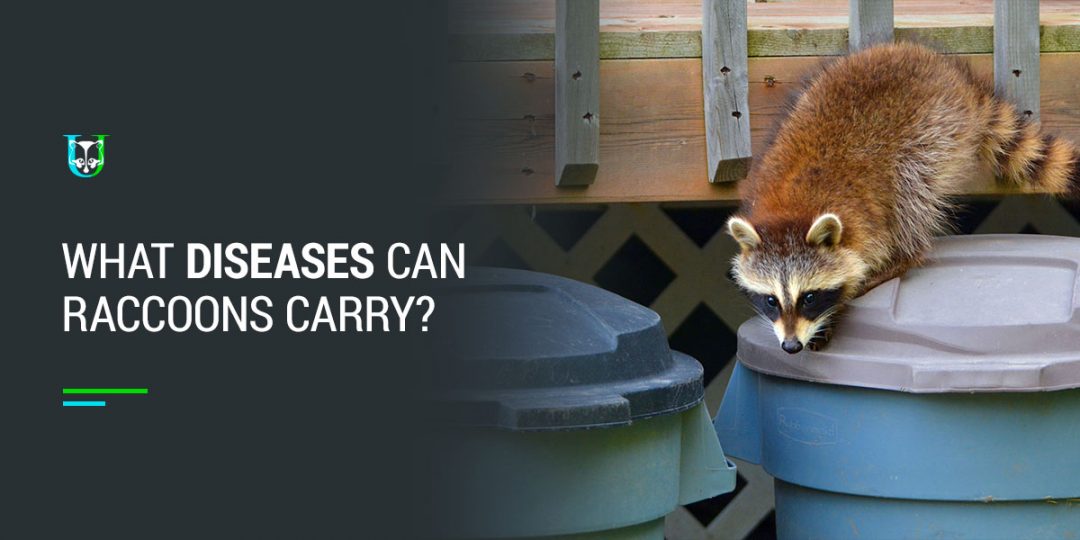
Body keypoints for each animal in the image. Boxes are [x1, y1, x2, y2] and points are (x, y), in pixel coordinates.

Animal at [727, 42, 1080, 354]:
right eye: (771, 300)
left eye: (809, 297)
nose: (790, 346)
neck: (792, 211)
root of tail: (955, 79)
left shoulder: (866, 222)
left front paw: (840, 304)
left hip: (932, 135)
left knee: (911, 194)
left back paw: (907, 254)